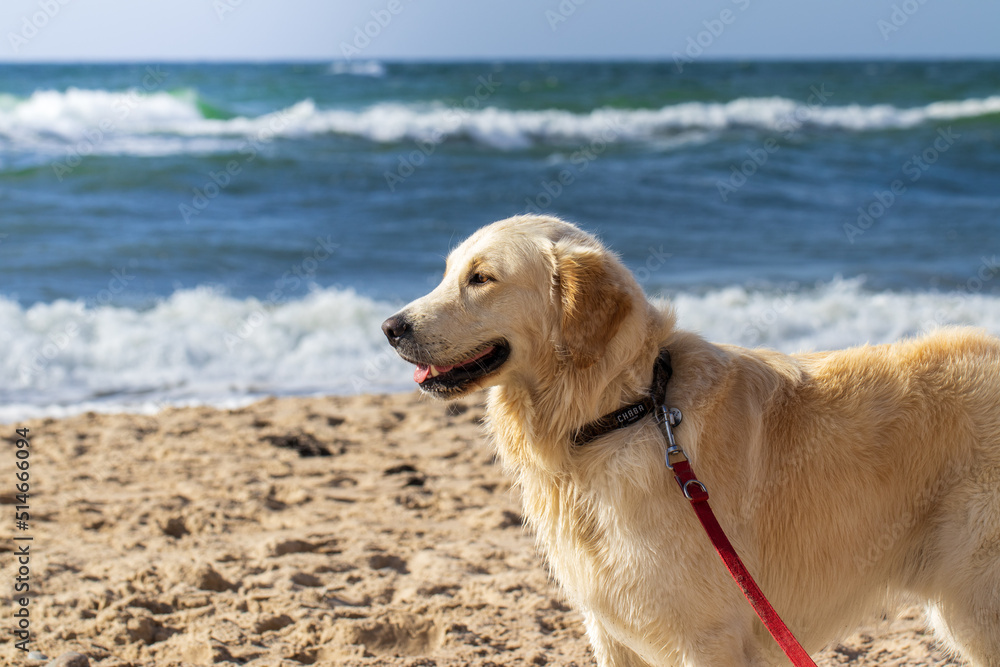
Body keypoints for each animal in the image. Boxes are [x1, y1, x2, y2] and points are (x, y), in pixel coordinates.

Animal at [380, 217, 1000, 664]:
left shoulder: (705, 636)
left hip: (975, 603)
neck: (621, 413)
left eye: (481, 278)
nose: (390, 327)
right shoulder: (612, 630)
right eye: (448, 272)